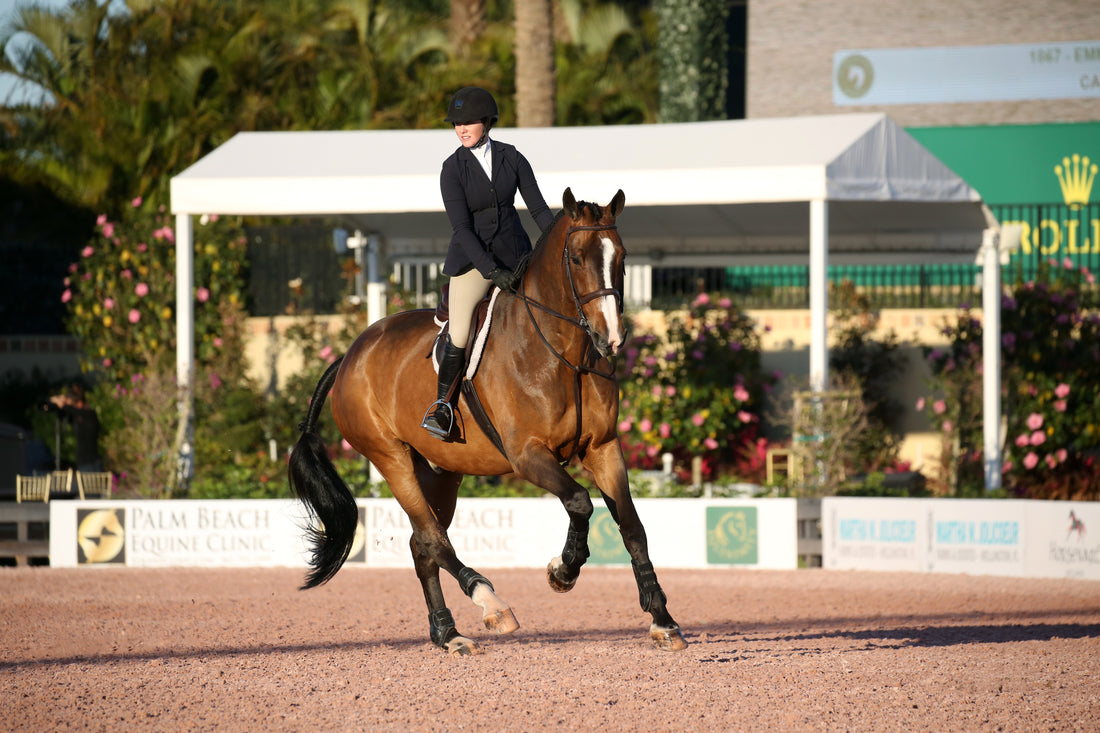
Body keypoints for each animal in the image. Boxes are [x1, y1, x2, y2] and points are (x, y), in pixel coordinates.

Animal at [292, 186, 686, 651]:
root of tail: (352, 353)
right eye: (575, 258)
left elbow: (632, 526)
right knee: (432, 537)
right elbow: (580, 501)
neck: (564, 355)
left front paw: (662, 619)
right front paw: (563, 571)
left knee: (421, 544)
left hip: (442, 471)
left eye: (621, 257)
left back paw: (448, 634)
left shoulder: (604, 448)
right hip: (390, 457)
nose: (611, 339)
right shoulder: (527, 455)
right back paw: (491, 604)